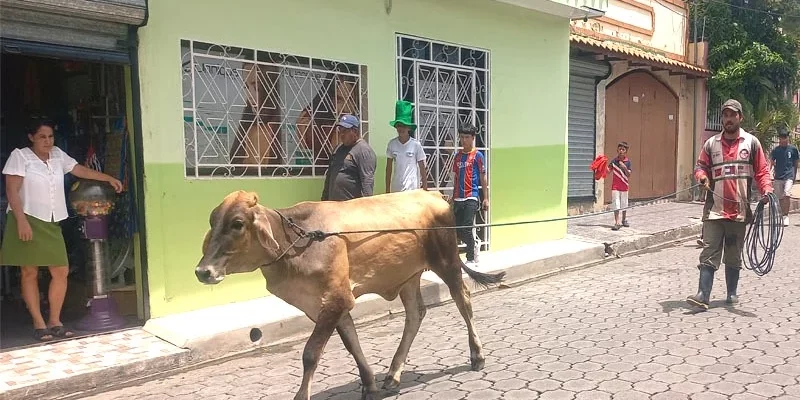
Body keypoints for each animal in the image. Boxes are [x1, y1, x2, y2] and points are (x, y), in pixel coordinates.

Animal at [195, 190, 504, 400]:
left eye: (237, 223)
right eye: (212, 221)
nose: (202, 271)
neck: (297, 240)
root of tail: (431, 193)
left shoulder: (337, 298)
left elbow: (310, 353)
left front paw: (302, 395)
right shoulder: (328, 304)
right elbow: (352, 344)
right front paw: (369, 384)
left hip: (447, 262)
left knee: (463, 301)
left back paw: (477, 356)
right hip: (408, 276)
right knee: (416, 314)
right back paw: (393, 374)